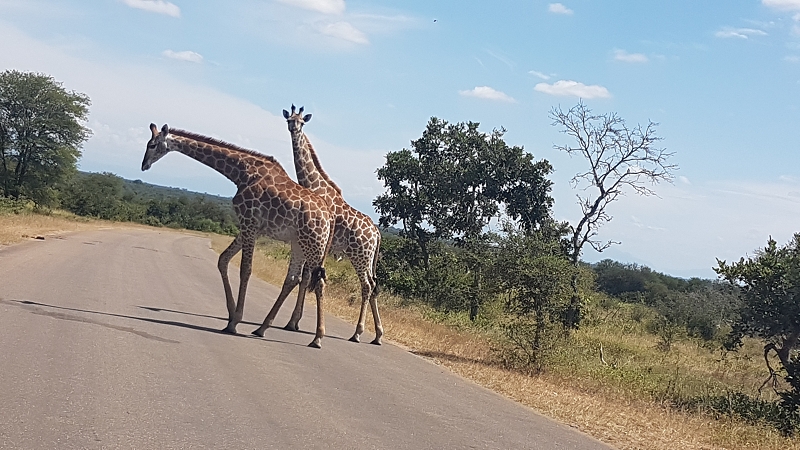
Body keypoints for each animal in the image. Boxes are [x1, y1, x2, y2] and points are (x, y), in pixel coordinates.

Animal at [141, 123, 334, 348]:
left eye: (152, 145)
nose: (144, 165)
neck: (241, 172)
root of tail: (330, 217)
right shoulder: (247, 227)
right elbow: (223, 260)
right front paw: (231, 316)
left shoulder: (249, 224)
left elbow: (245, 269)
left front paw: (235, 321)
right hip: (298, 242)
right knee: (293, 278)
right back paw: (262, 328)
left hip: (313, 243)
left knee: (319, 282)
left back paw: (317, 337)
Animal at [278, 105, 384, 344]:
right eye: (289, 119)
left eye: (302, 122)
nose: (293, 128)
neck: (314, 185)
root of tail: (377, 233)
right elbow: (306, 278)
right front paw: (293, 322)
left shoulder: (319, 242)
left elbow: (308, 277)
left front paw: (293, 322)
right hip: (367, 258)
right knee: (373, 285)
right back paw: (378, 335)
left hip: (359, 255)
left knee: (367, 285)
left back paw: (357, 333)